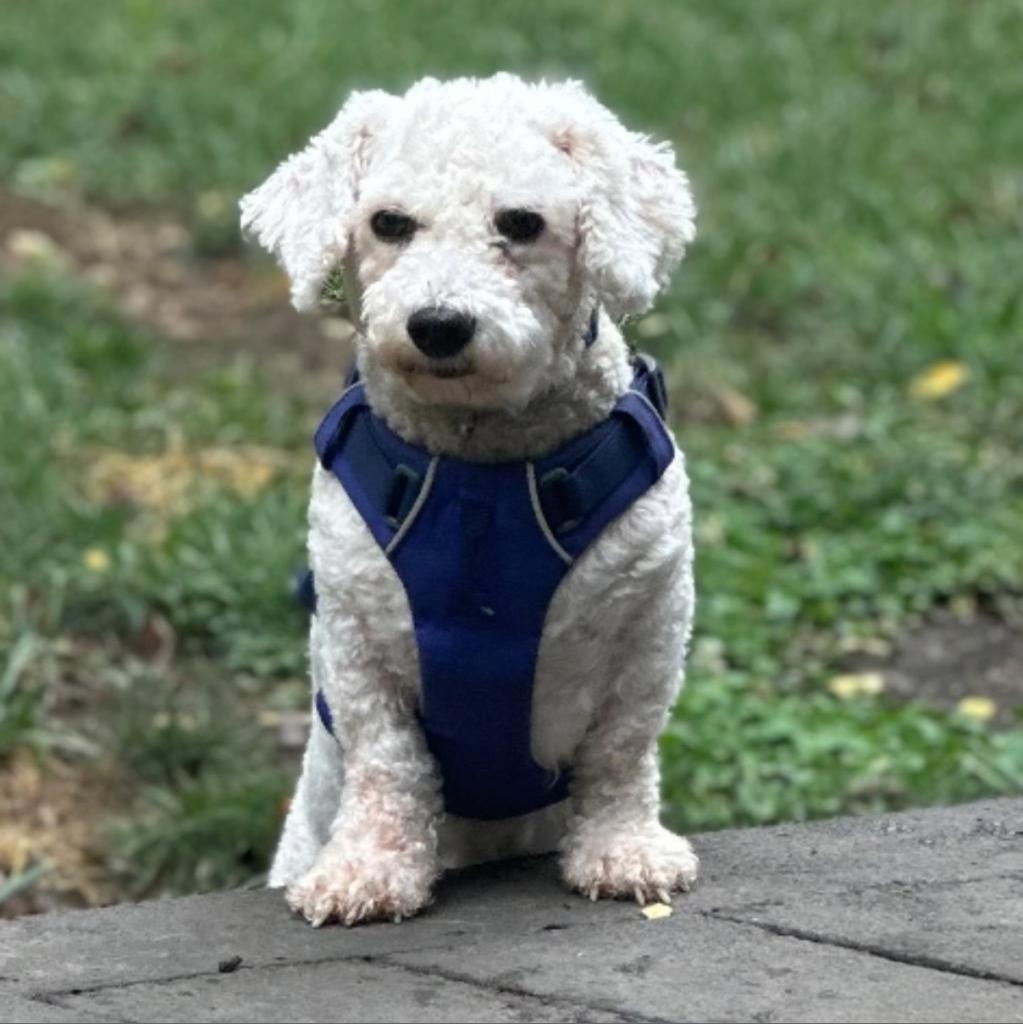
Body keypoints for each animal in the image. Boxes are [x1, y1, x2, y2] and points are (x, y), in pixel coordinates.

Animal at [243, 74, 700, 929]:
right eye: (389, 223)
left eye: (520, 224)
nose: (438, 325)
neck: (480, 466)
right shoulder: (354, 637)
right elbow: (386, 759)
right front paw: (369, 867)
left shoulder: (648, 626)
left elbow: (620, 749)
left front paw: (622, 849)